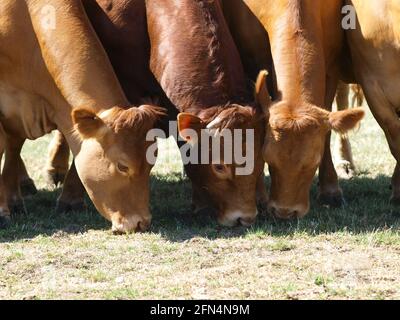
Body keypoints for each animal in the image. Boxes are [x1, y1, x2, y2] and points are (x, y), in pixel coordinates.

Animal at [0, 0, 164, 232]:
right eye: (123, 166)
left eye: (151, 164)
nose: (141, 222)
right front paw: (4, 209)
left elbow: (14, 145)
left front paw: (14, 200)